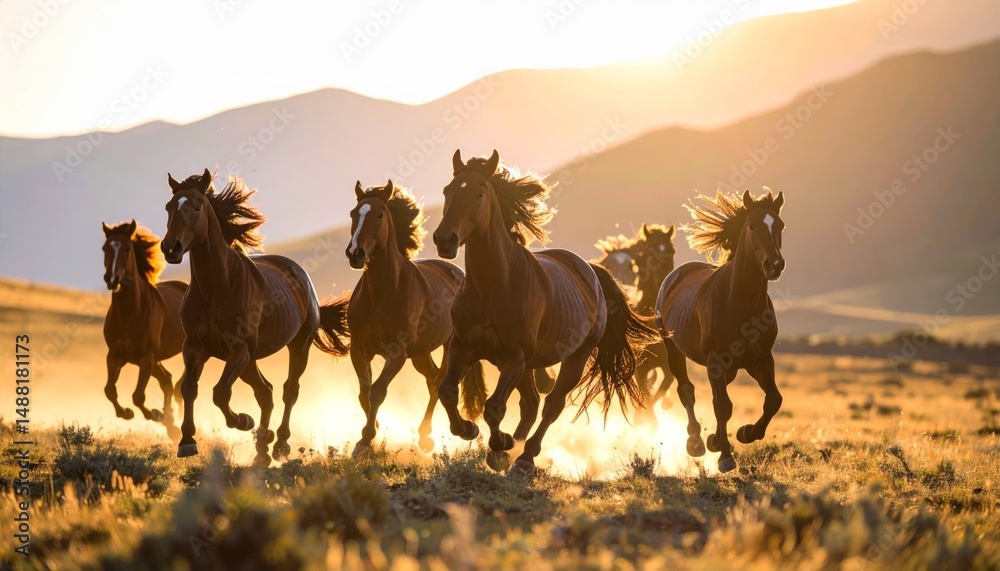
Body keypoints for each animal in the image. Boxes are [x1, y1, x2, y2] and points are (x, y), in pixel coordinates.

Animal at [101, 220, 186, 440]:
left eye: (127, 248)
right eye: (105, 248)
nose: (111, 279)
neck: (129, 312)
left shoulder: (146, 357)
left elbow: (138, 396)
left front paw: (155, 414)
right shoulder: (115, 356)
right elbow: (109, 390)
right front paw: (126, 413)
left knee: (175, 382)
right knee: (167, 380)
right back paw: (171, 424)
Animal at [161, 169, 321, 467]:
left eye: (197, 206)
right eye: (169, 207)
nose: (170, 248)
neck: (217, 287)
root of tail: (300, 273)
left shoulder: (238, 349)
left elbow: (220, 392)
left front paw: (243, 421)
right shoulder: (195, 348)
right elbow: (188, 388)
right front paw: (187, 442)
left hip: (298, 346)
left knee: (289, 390)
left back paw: (279, 444)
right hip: (251, 360)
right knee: (265, 393)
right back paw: (262, 449)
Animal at [312, 180, 487, 457]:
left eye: (380, 215)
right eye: (353, 214)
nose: (355, 254)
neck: (383, 292)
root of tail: (457, 272)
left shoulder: (397, 352)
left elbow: (377, 391)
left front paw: (364, 441)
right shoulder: (360, 350)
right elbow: (364, 393)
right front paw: (372, 429)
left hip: (448, 346)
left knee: (441, 381)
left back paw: (451, 431)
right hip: (420, 353)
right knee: (432, 380)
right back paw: (427, 436)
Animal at [431, 149, 657, 475]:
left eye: (480, 193)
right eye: (447, 191)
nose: (444, 240)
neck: (494, 284)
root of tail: (591, 271)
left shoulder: (514, 356)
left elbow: (494, 408)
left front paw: (500, 445)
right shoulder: (464, 346)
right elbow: (448, 392)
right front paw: (471, 430)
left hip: (574, 358)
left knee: (551, 405)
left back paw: (524, 457)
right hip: (529, 365)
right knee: (531, 403)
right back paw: (512, 447)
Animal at [654, 189, 786, 473]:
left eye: (780, 225)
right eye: (752, 225)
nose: (775, 265)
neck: (743, 304)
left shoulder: (761, 360)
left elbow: (773, 400)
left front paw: (745, 433)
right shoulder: (716, 360)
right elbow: (723, 406)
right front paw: (725, 455)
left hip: (732, 368)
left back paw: (712, 439)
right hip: (674, 351)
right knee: (687, 391)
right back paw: (696, 442)